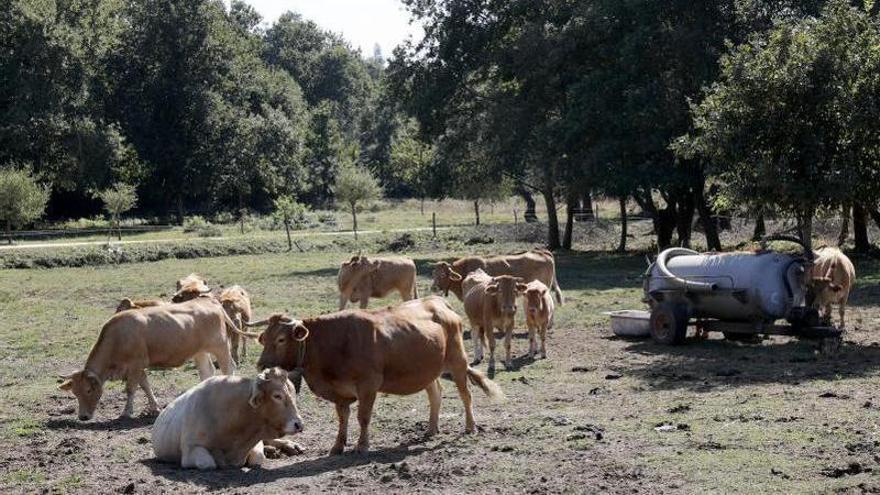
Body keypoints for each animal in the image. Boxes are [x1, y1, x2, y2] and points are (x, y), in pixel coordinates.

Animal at [59, 297, 237, 421]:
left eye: (88, 390)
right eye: (75, 392)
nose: (83, 417)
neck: (118, 337)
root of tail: (208, 300)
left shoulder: (136, 364)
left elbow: (131, 389)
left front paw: (126, 412)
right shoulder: (138, 367)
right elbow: (145, 386)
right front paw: (155, 408)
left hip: (220, 347)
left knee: (228, 367)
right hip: (199, 352)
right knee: (207, 371)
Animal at [152, 367, 303, 470]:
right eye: (277, 396)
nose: (299, 425)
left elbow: (258, 458)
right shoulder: (190, 450)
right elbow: (208, 463)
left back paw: (290, 446)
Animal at [240, 296, 504, 455]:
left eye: (281, 339)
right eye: (264, 337)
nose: (261, 364)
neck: (332, 344)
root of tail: (438, 302)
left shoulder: (368, 385)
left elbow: (363, 417)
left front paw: (362, 445)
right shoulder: (340, 392)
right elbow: (343, 418)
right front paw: (338, 446)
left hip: (458, 363)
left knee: (466, 395)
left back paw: (470, 427)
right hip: (427, 371)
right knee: (435, 394)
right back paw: (431, 428)